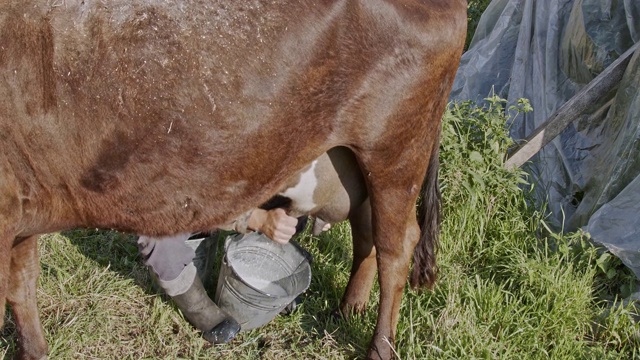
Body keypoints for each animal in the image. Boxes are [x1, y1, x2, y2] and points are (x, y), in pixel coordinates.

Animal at [1, 1, 464, 358]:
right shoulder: (21, 210)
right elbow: (22, 287)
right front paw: (34, 352)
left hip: (395, 154)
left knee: (396, 247)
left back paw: (379, 347)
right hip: (359, 164)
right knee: (366, 231)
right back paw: (349, 308)